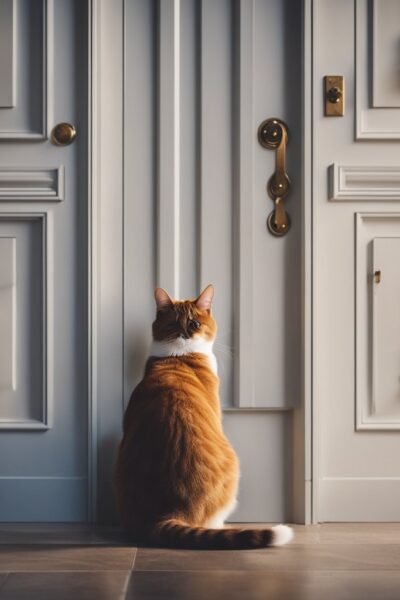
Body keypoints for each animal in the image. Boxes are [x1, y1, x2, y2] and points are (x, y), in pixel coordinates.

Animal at [114, 286, 292, 548]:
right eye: (173, 324)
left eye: (194, 323)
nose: (186, 334)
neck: (178, 355)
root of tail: (166, 513)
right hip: (233, 466)